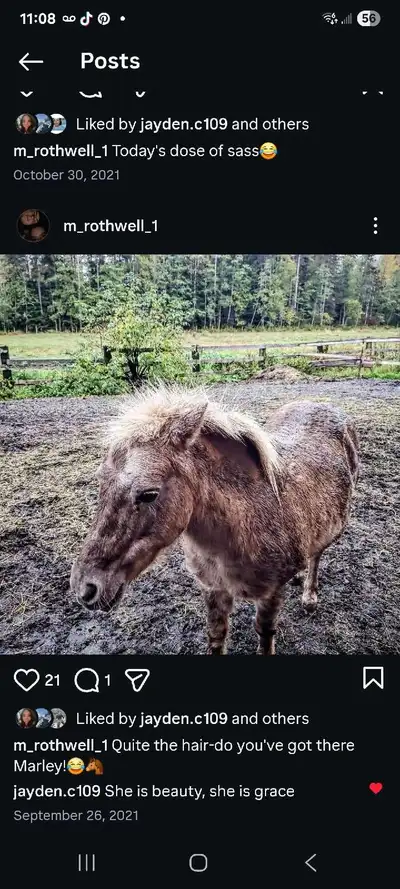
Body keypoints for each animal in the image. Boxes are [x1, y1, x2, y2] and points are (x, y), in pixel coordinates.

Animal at [70, 384, 360, 654]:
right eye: (100, 481)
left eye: (149, 494)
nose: (85, 588)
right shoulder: (212, 589)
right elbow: (216, 634)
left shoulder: (271, 594)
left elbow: (265, 633)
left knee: (317, 554)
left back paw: (309, 596)